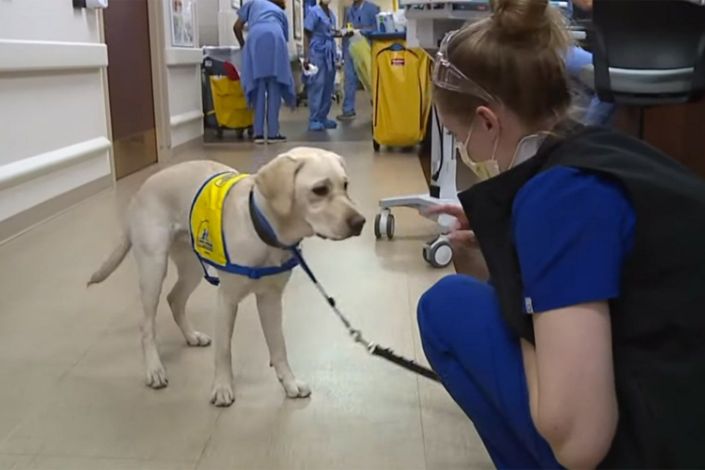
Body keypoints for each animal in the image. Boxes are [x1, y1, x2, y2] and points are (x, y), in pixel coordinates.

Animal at [86, 148, 364, 408]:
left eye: (345, 185)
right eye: (320, 190)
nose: (360, 222)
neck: (262, 229)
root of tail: (142, 188)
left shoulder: (271, 300)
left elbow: (279, 346)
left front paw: (289, 383)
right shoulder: (226, 300)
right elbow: (224, 350)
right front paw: (221, 388)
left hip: (191, 268)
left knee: (175, 299)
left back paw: (191, 336)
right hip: (153, 267)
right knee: (147, 325)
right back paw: (154, 369)